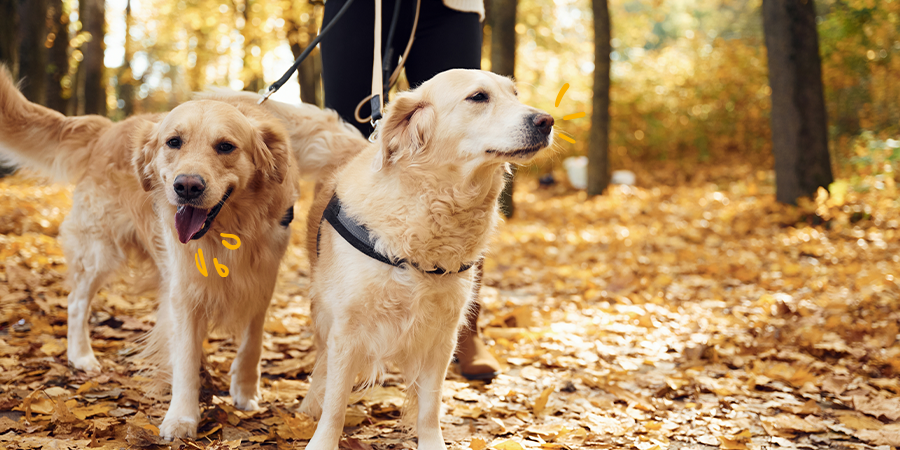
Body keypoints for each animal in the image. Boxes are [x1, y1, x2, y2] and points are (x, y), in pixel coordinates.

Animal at [0, 67, 366, 440]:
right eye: (173, 142)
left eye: (226, 146)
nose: (187, 186)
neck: (227, 231)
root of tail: (106, 129)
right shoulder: (184, 288)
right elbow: (186, 357)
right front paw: (182, 416)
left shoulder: (261, 278)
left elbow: (252, 341)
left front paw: (245, 390)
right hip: (100, 249)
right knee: (76, 302)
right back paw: (82, 356)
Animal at [302, 68, 556, 448]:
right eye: (478, 97)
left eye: (514, 94)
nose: (546, 121)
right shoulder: (346, 330)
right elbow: (335, 404)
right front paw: (322, 439)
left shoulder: (441, 335)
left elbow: (429, 406)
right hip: (323, 313)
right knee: (321, 365)